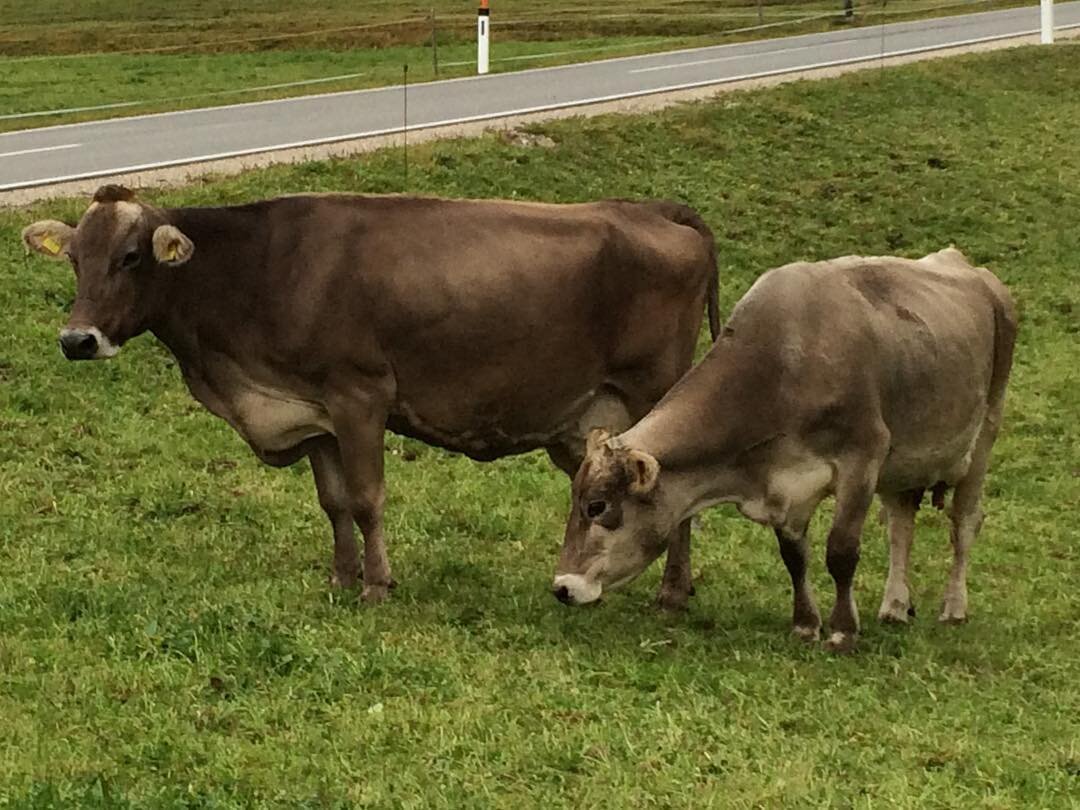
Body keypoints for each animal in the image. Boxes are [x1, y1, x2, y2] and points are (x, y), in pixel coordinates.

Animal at [21, 183, 717, 604]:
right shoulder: (315, 413)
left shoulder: (360, 396)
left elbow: (365, 499)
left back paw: (672, 592)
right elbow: (333, 503)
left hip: (656, 391)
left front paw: (377, 585)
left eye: (131, 256)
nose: (77, 339)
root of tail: (652, 208)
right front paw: (340, 576)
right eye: (76, 258)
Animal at [552, 247, 1015, 652]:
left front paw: (842, 632)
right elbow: (794, 555)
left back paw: (953, 608)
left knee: (965, 522)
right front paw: (805, 625)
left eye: (596, 506)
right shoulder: (784, 483)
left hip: (983, 434)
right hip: (904, 462)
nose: (562, 587)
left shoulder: (862, 458)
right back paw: (895, 605)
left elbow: (841, 551)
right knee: (901, 523)